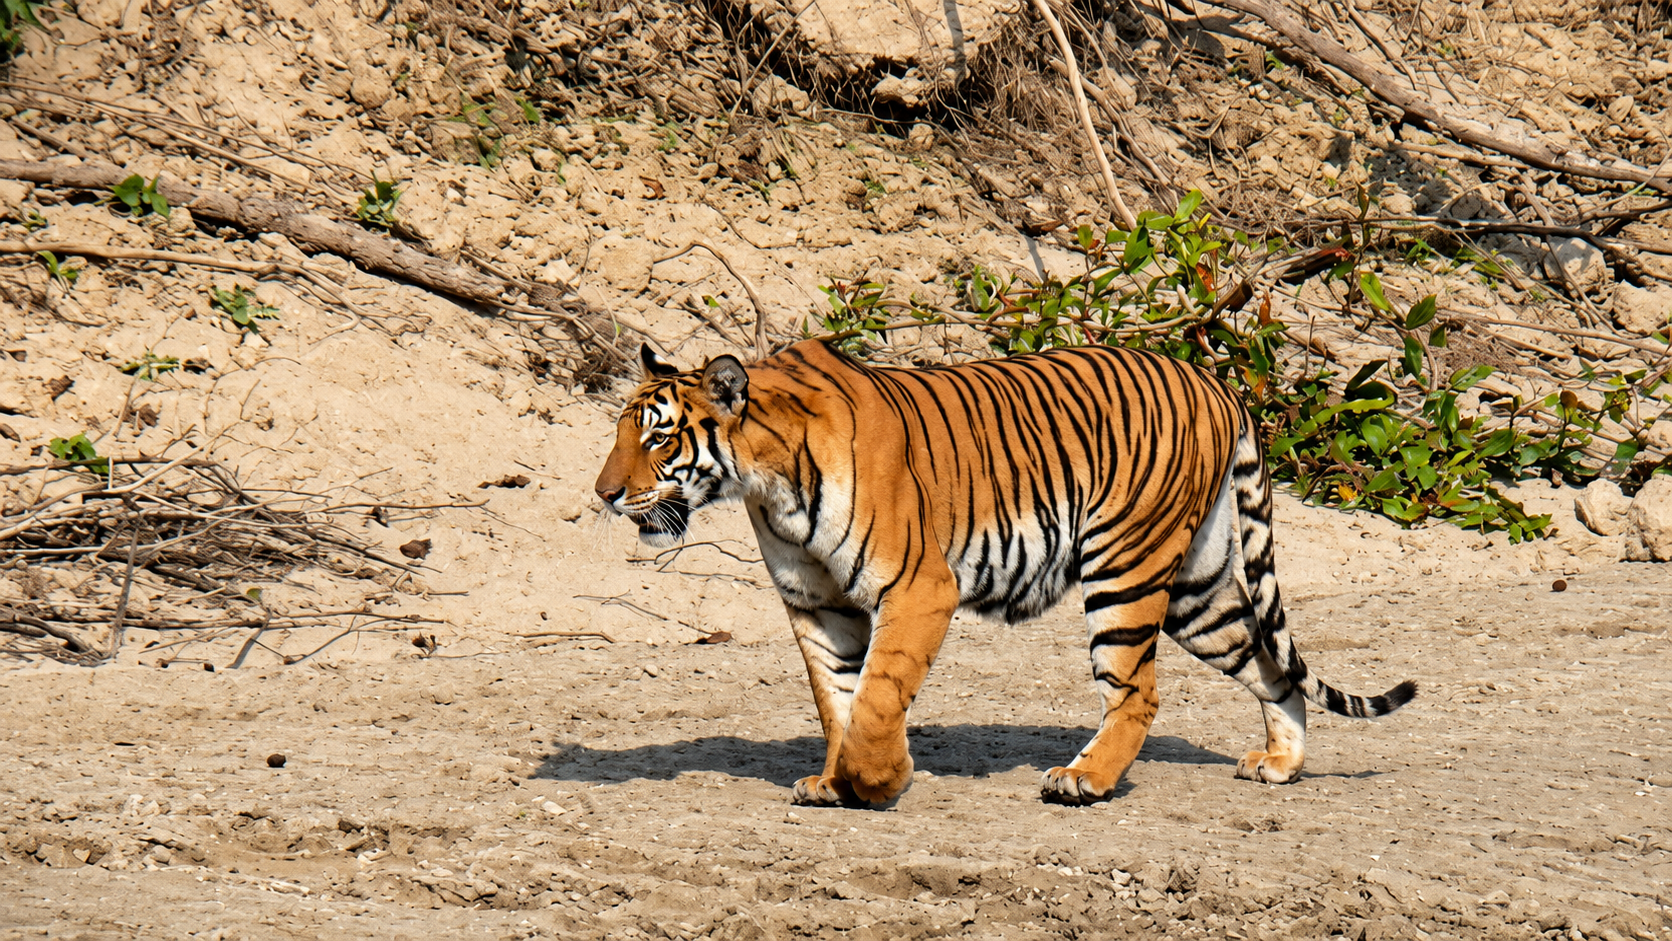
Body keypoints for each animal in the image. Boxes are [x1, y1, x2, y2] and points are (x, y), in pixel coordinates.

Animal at [594, 339, 1415, 806]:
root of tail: (1214, 381)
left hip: (1125, 564)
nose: (603, 494)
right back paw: (1280, 764)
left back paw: (1083, 780)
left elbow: (875, 699)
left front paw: (878, 782)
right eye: (620, 433)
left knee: (1139, 689)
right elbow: (836, 701)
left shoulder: (917, 586)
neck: (765, 481)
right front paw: (834, 782)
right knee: (1269, 664)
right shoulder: (815, 602)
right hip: (1195, 587)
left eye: (659, 437)